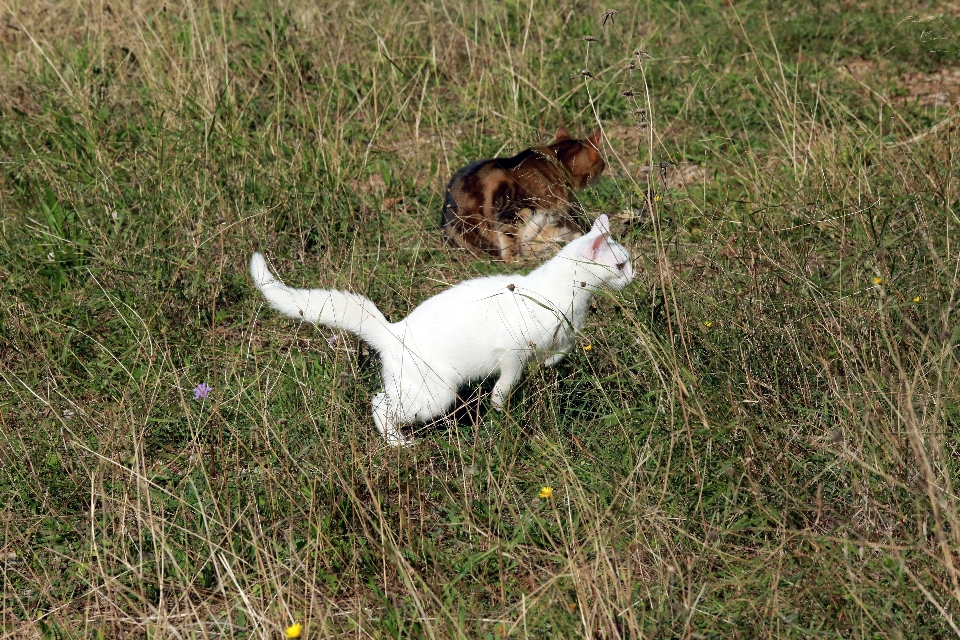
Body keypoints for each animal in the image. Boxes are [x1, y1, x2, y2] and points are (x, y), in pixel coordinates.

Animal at [251, 215, 632, 444]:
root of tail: (393, 331)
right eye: (621, 265)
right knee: (378, 404)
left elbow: (559, 353)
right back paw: (398, 443)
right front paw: (499, 405)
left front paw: (546, 367)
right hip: (436, 394)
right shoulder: (511, 351)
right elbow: (508, 381)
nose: (634, 275)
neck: (569, 298)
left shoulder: (562, 339)